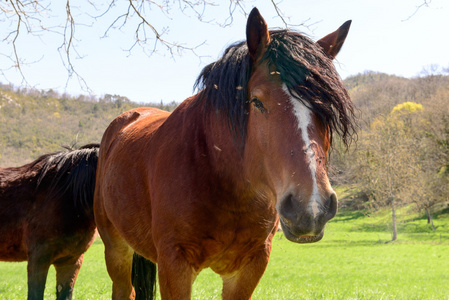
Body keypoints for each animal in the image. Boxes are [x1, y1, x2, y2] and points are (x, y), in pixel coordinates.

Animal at [93, 7, 354, 300]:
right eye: (257, 101)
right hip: (116, 249)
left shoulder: (249, 267)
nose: (310, 207)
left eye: (326, 108)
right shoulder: (174, 265)